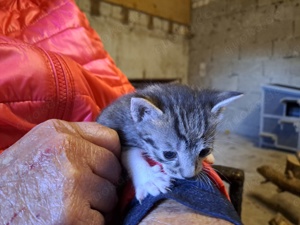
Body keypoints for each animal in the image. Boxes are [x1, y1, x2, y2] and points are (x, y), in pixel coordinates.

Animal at [97, 83, 243, 202]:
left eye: (204, 151)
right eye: (168, 154)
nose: (189, 176)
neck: (131, 122)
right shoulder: (114, 126)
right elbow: (129, 153)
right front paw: (150, 180)